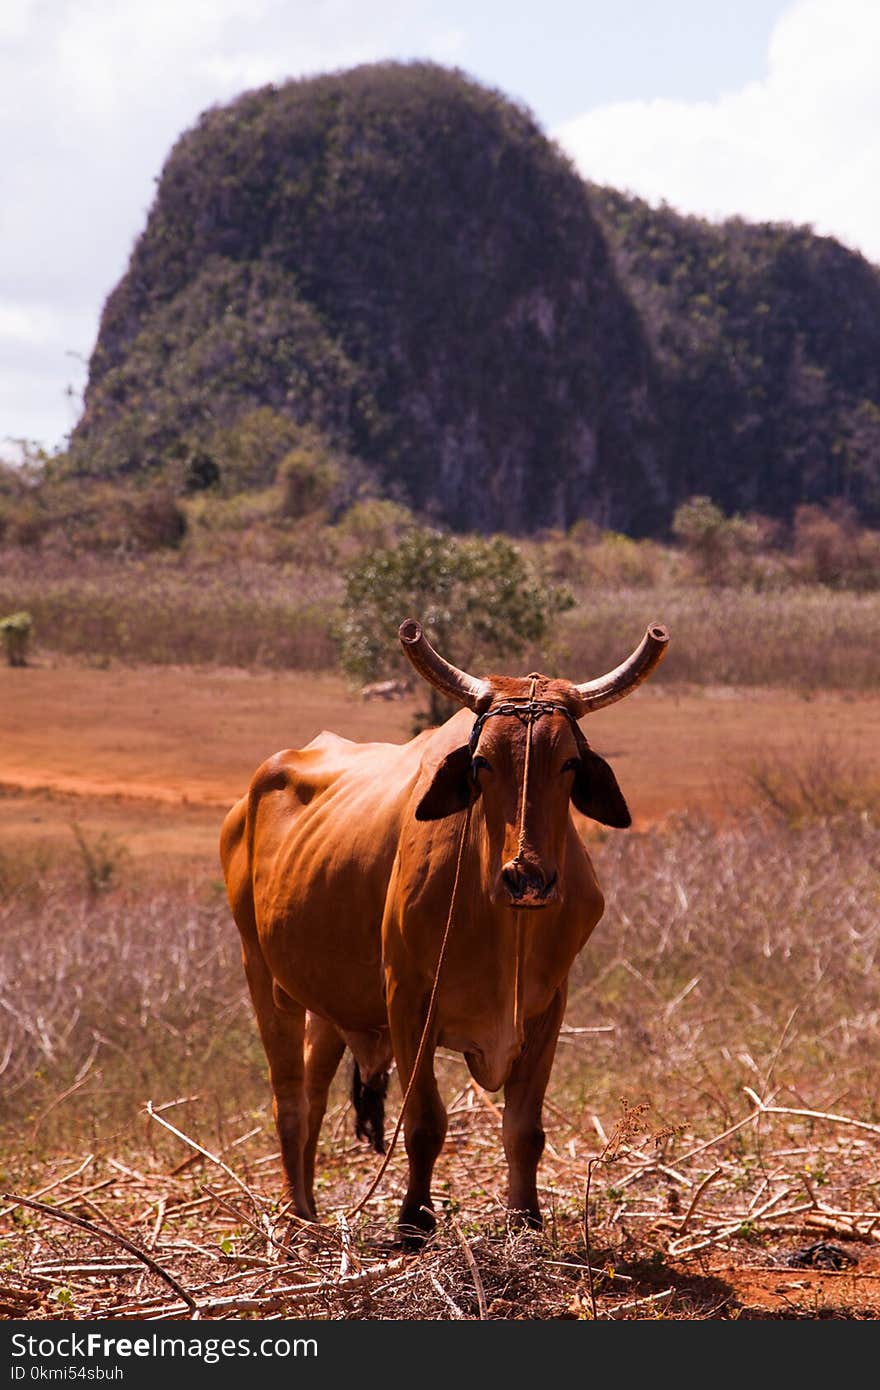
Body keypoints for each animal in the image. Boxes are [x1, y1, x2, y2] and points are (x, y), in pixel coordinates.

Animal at [219, 619, 664, 1239]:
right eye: (482, 762)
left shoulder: (549, 1006)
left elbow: (524, 1130)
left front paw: (526, 1220)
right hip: (260, 970)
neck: (504, 923)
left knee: (312, 1093)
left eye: (570, 763)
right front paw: (413, 1222)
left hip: (332, 1003)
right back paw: (298, 1217)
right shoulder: (408, 1000)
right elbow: (426, 1122)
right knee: (289, 1099)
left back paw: (307, 1208)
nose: (527, 877)